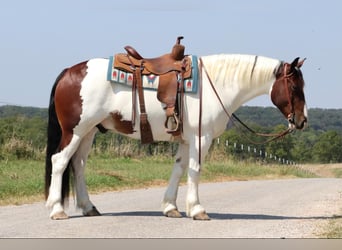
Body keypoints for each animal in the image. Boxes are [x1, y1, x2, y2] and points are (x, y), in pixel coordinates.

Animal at [44, 51, 308, 220]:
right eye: (295, 87)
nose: (302, 120)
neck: (215, 86)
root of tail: (69, 72)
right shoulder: (201, 139)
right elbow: (194, 170)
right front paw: (197, 210)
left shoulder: (186, 140)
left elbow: (179, 169)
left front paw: (171, 207)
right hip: (74, 131)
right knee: (60, 161)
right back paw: (57, 210)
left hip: (88, 132)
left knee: (78, 164)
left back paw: (88, 207)